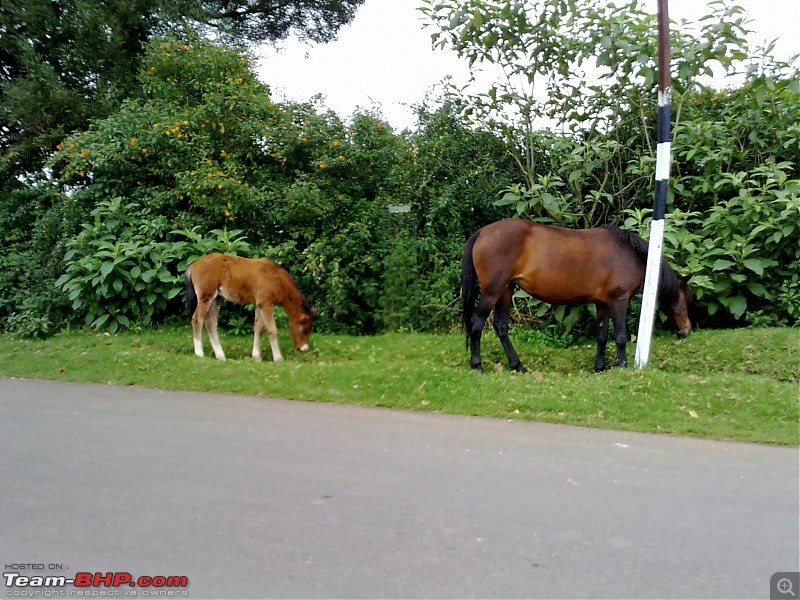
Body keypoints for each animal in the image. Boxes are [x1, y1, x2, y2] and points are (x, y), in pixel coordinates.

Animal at [185, 252, 316, 360]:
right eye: (305, 330)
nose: (303, 348)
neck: (276, 278)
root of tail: (194, 264)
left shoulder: (259, 305)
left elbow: (258, 328)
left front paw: (256, 356)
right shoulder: (266, 305)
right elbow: (271, 329)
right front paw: (278, 358)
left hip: (216, 298)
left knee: (210, 322)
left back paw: (220, 355)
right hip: (206, 296)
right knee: (197, 320)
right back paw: (199, 353)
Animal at [462, 218, 692, 372]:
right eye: (686, 299)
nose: (686, 330)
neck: (630, 255)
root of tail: (482, 232)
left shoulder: (602, 304)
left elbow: (602, 335)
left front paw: (599, 367)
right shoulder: (619, 301)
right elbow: (620, 337)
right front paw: (623, 367)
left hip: (506, 291)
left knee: (501, 327)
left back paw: (518, 366)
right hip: (492, 292)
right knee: (476, 323)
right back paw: (478, 366)